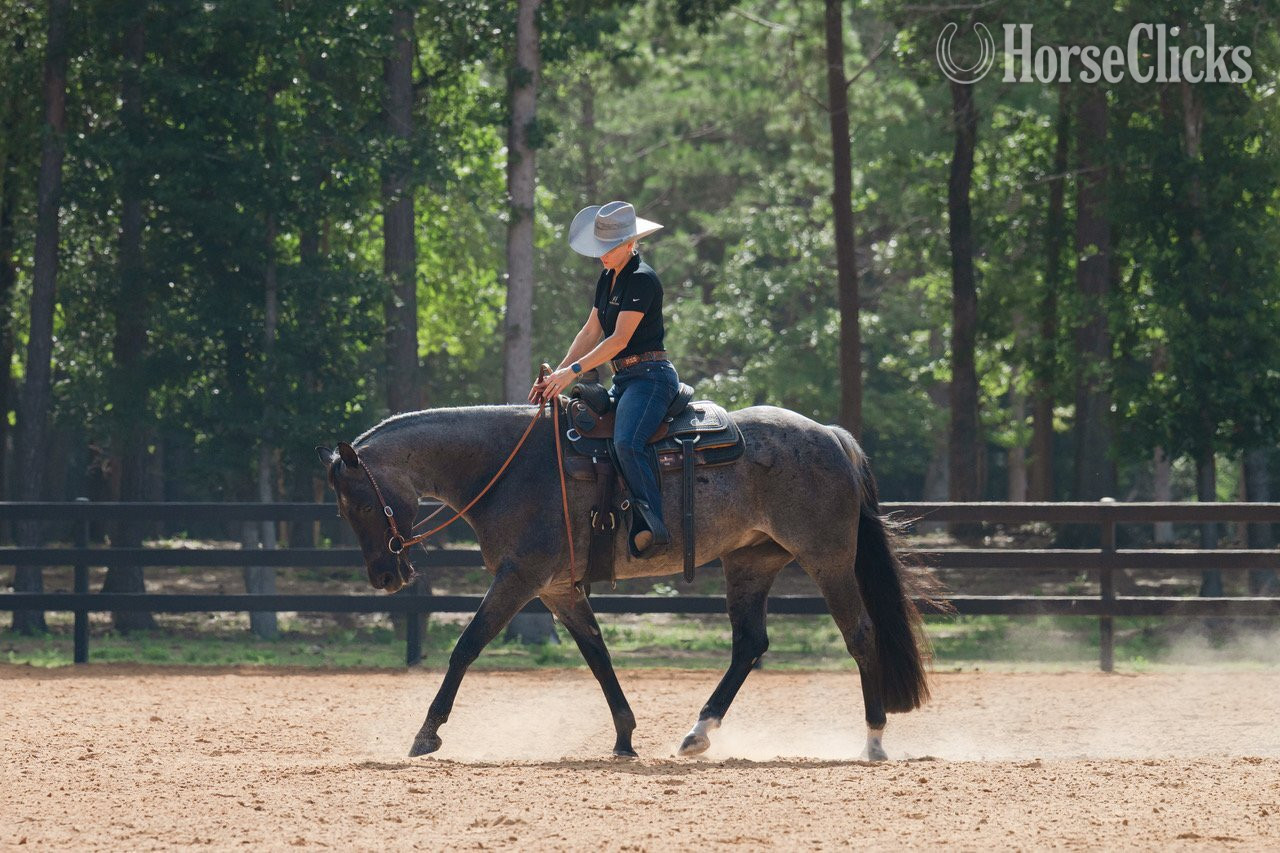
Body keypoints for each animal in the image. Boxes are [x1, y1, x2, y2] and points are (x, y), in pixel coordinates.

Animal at [317, 400, 939, 760]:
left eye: (359, 503)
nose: (384, 576)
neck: (506, 467)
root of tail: (830, 435)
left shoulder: (521, 578)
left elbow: (466, 646)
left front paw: (427, 733)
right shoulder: (558, 588)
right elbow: (598, 656)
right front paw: (624, 736)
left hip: (826, 559)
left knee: (860, 634)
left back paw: (874, 739)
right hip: (750, 563)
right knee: (749, 645)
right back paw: (697, 733)